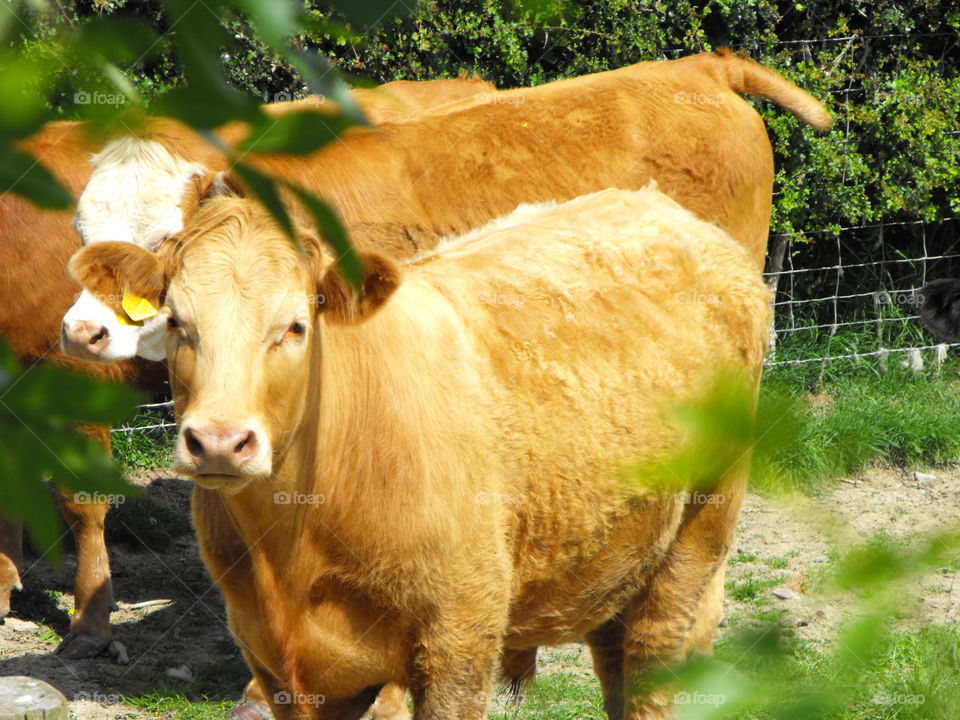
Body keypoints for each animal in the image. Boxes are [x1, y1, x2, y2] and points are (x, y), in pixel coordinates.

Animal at [69, 186, 772, 720]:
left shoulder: (460, 638)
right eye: (176, 322)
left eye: (296, 325)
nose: (218, 441)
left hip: (698, 531)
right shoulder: (275, 660)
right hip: (616, 550)